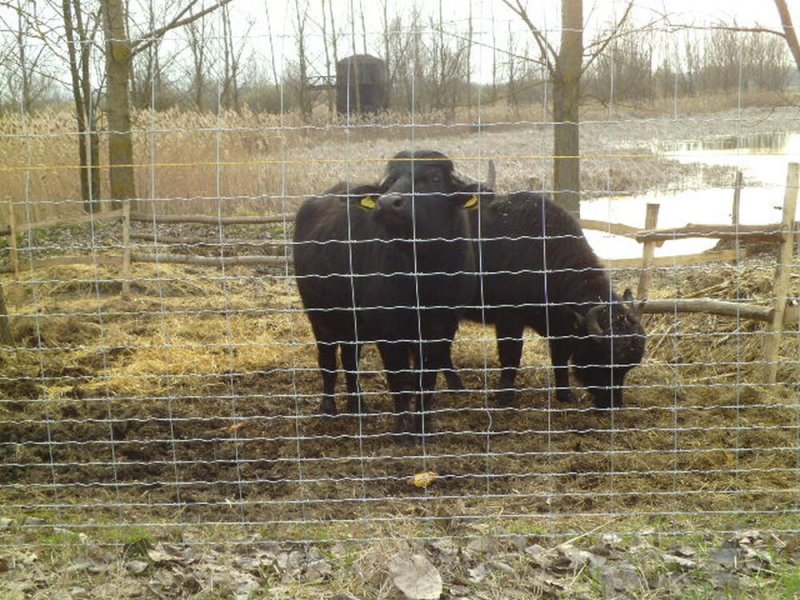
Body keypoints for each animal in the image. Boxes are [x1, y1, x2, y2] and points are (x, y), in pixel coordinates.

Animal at [296, 150, 478, 440]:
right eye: (390, 181)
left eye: (435, 178)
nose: (388, 203)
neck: (423, 277)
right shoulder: (389, 331)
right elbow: (398, 379)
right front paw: (403, 431)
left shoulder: (443, 328)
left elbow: (426, 379)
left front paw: (424, 427)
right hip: (319, 316)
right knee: (327, 361)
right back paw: (328, 408)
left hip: (352, 324)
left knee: (350, 359)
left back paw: (358, 405)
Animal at [456, 189, 644, 408]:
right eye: (604, 360)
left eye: (627, 368)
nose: (613, 404)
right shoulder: (509, 319)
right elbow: (511, 355)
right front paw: (505, 396)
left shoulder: (561, 326)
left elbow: (560, 358)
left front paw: (565, 394)